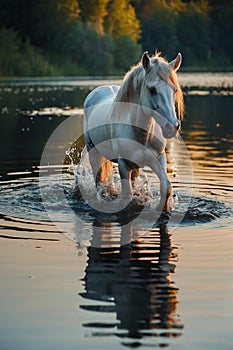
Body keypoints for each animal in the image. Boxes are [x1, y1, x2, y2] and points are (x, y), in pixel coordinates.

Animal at [83, 50, 184, 212]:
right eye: (152, 90)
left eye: (174, 90)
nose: (172, 127)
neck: (141, 135)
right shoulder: (123, 164)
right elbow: (127, 195)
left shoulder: (158, 158)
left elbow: (166, 186)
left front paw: (162, 209)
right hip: (93, 149)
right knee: (99, 181)